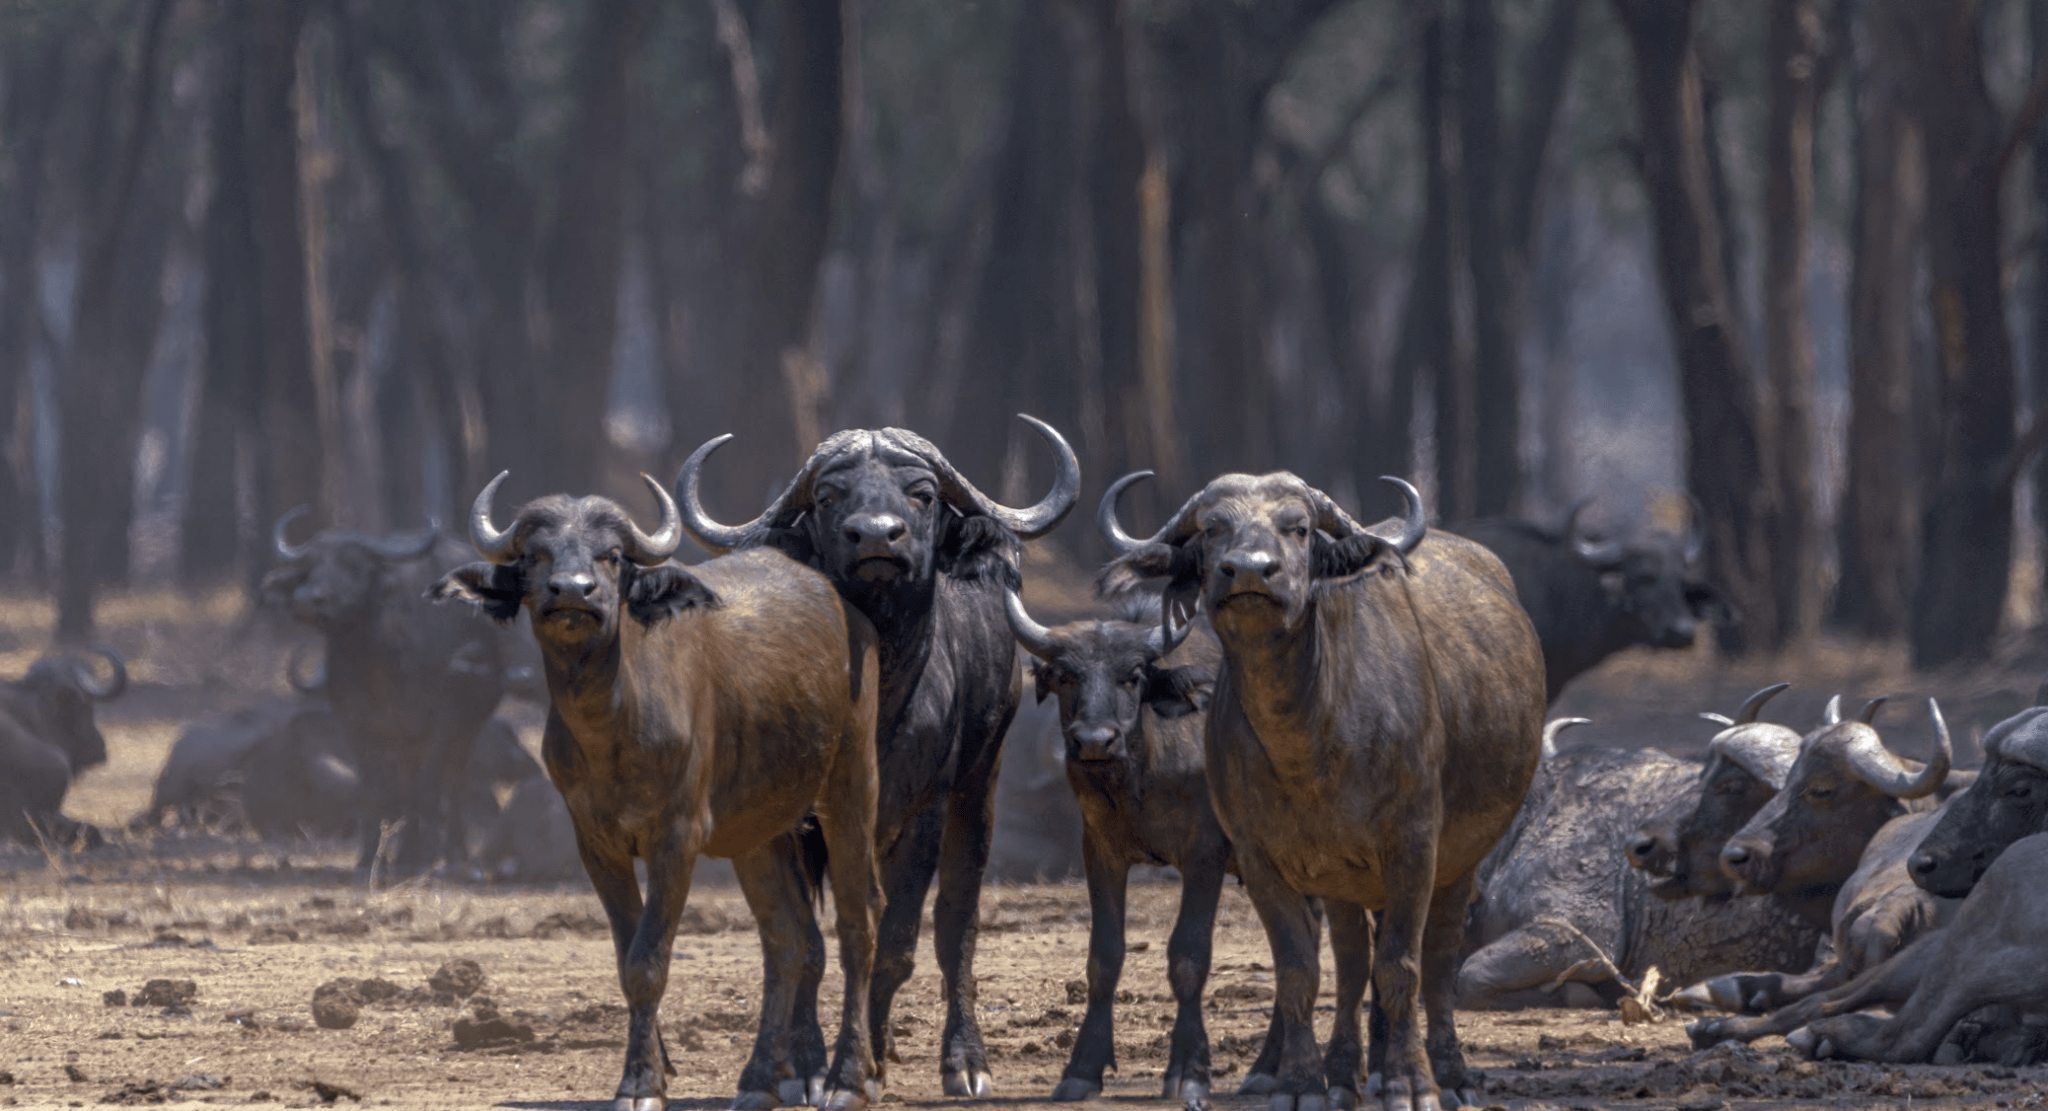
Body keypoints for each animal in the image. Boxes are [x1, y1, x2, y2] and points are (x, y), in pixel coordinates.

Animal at [263, 513, 506, 874]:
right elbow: (376, 789)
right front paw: (368, 859)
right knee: (410, 782)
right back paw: (408, 853)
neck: (378, 663)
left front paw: (425, 859)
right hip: (408, 739)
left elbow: (430, 786)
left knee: (453, 779)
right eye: (310, 566)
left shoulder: (442, 719)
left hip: (470, 721)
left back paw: (453, 855)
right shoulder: (356, 723)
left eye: (354, 564)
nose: (307, 599)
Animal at [432, 473, 884, 1111]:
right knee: (788, 939)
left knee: (858, 922)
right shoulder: (596, 845)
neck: (613, 728)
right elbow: (627, 958)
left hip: (851, 785)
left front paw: (641, 1083)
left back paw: (848, 1078)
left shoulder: (677, 839)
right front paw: (654, 1067)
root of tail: (850, 615)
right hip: (758, 833)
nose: (573, 592)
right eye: (536, 554)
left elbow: (649, 960)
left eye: (611, 555)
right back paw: (759, 1080)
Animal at [675, 415, 1080, 1098]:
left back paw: (960, 1061)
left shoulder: (924, 813)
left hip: (979, 787)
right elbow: (803, 944)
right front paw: (805, 1066)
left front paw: (862, 1068)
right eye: (829, 495)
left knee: (956, 923)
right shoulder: (781, 824)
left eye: (922, 494)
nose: (875, 536)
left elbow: (897, 943)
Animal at [1099, 470, 1546, 1111]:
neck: (1308, 740)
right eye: (1212, 528)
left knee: (1435, 961)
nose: (1250, 571)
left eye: (1299, 528)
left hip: (1463, 857)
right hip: (1341, 876)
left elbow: (1403, 967)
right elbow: (1300, 973)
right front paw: (1305, 1084)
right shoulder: (1262, 860)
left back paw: (1449, 1072)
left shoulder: (1415, 845)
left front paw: (1411, 1083)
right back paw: (1345, 1072)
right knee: (1353, 961)